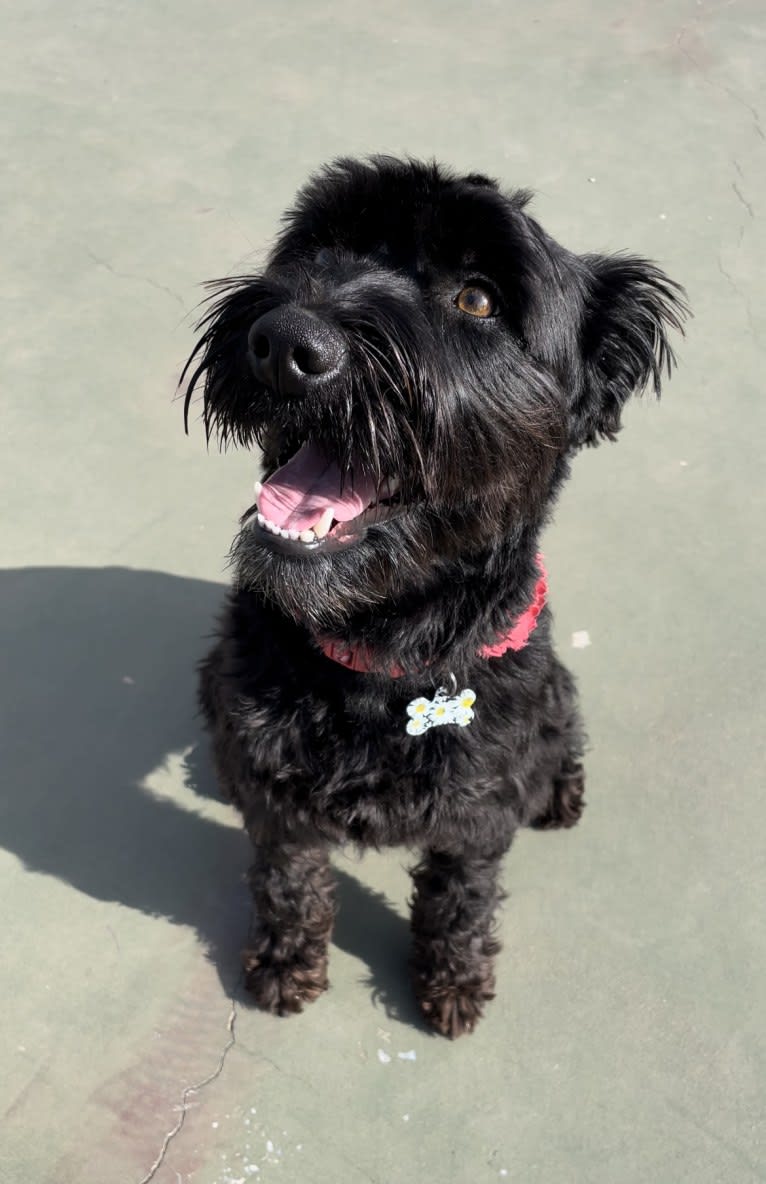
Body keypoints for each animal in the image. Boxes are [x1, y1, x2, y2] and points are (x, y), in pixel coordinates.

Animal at [181, 157, 691, 1037]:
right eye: (320, 248)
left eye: (478, 299)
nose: (285, 343)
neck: (381, 650)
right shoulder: (277, 797)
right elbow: (289, 881)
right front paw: (286, 962)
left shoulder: (477, 814)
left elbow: (462, 898)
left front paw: (452, 983)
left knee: (565, 728)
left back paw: (561, 790)